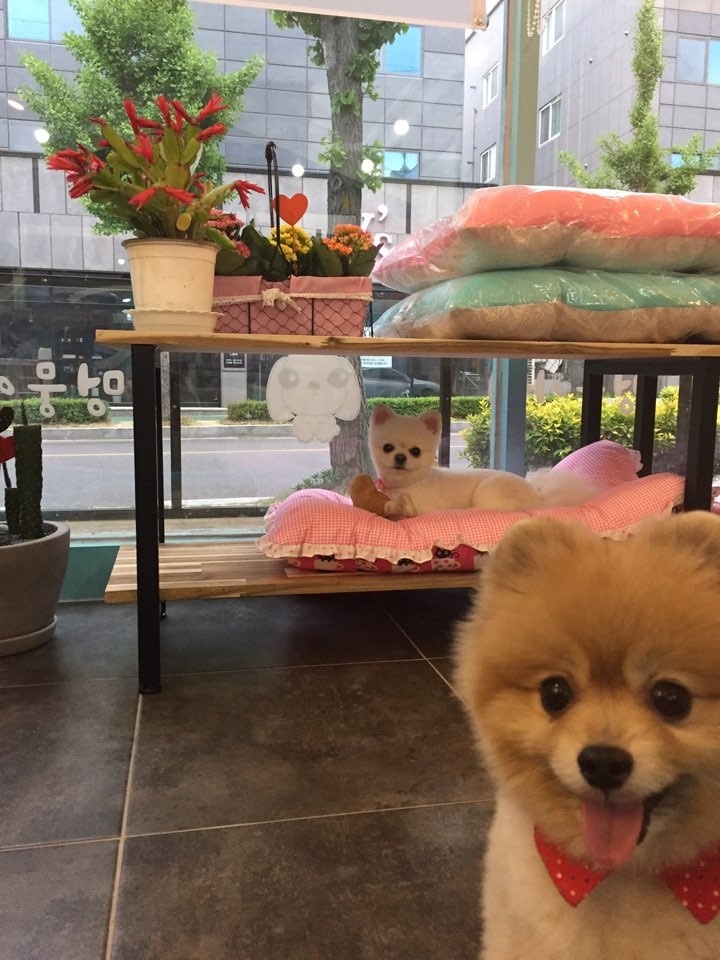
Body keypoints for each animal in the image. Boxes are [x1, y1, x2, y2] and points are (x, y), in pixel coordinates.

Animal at [369, 404, 597, 518]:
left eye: (415, 451)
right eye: (387, 448)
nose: (400, 457)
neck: (406, 483)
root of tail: (537, 497)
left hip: (487, 492)